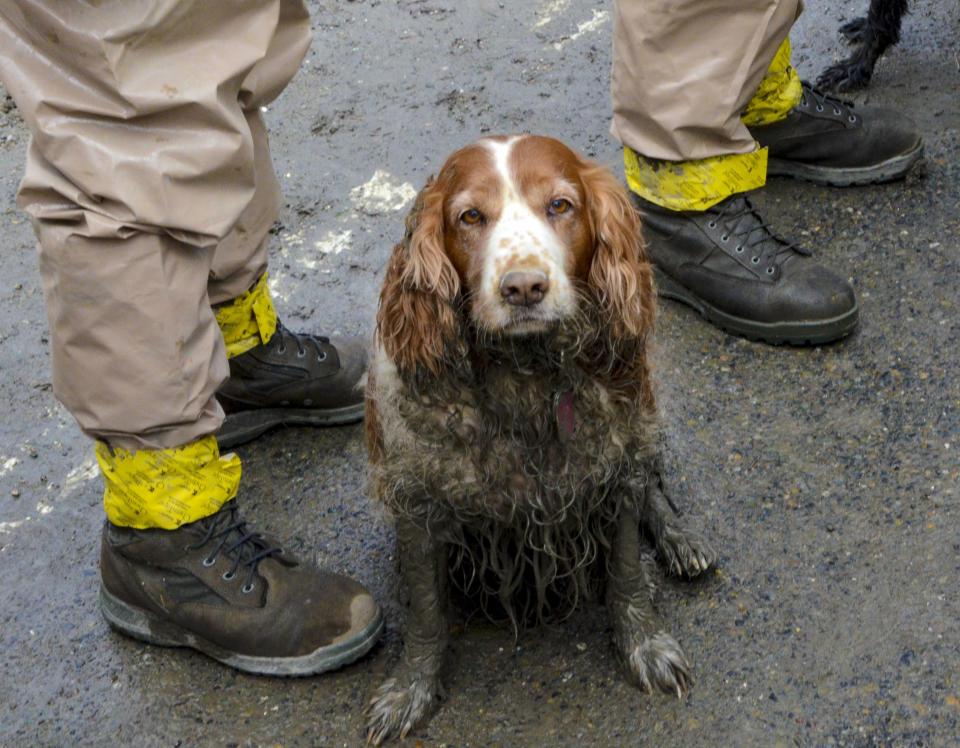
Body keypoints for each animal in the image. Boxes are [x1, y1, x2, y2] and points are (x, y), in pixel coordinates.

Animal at [364, 136, 716, 744]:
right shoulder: (418, 498)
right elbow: (428, 614)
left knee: (655, 488)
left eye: (560, 205)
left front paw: (645, 645)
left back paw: (680, 539)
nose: (524, 287)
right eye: (469, 217)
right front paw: (409, 691)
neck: (524, 376)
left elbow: (627, 572)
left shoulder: (617, 462)